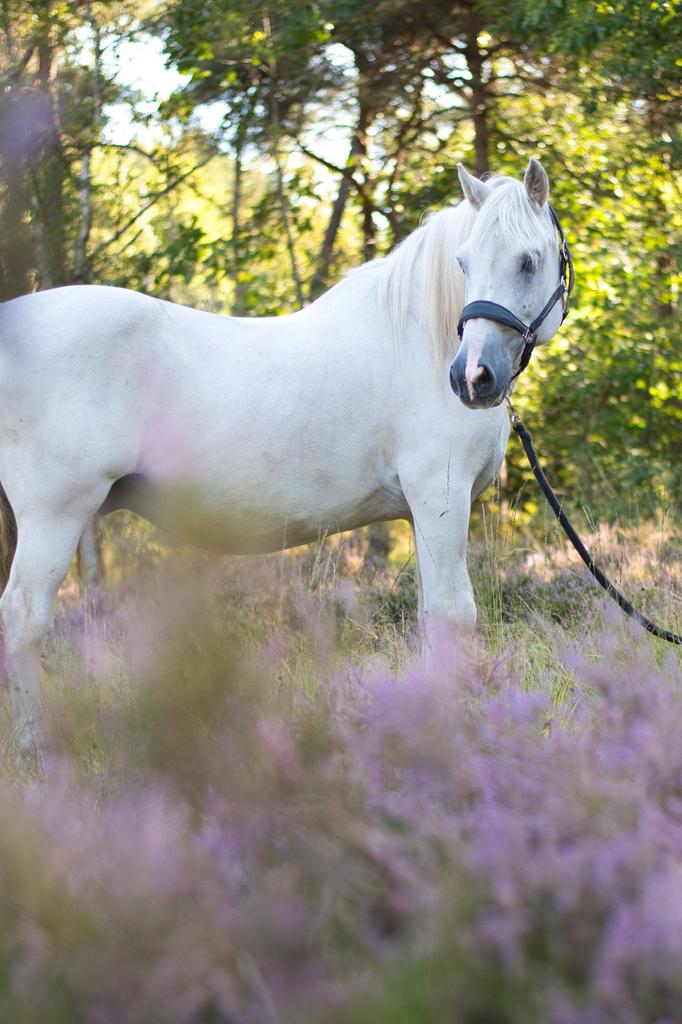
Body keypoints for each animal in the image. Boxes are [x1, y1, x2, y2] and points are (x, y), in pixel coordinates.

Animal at [0, 157, 568, 746]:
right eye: (463, 262)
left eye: (527, 261)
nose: (471, 378)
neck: (418, 342)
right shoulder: (441, 498)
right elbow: (453, 615)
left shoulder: (423, 513)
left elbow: (431, 615)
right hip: (54, 516)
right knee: (23, 620)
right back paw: (36, 746)